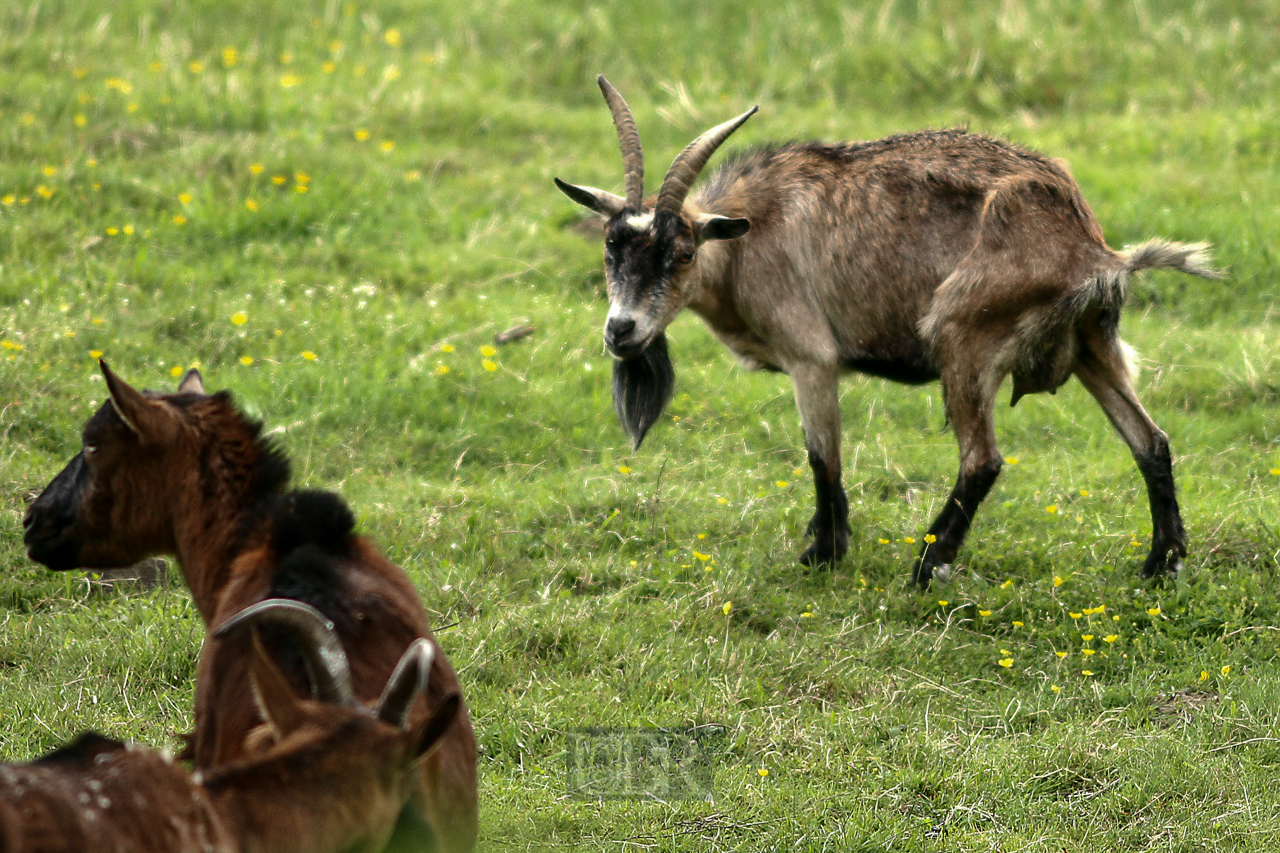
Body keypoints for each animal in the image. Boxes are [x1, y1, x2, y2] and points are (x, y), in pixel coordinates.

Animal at [558, 74, 1218, 584]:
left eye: (683, 254)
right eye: (613, 246)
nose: (621, 331)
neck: (750, 235)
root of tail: (1093, 250)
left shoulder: (811, 358)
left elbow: (822, 457)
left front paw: (822, 555)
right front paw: (824, 542)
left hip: (965, 341)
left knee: (983, 459)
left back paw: (928, 568)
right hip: (1093, 346)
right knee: (1151, 441)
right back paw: (1161, 564)